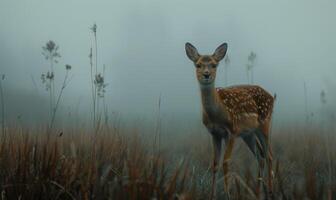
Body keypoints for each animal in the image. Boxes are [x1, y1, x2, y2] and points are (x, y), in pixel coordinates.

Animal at [185, 43, 274, 199]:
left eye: (214, 65)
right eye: (198, 64)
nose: (206, 74)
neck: (218, 113)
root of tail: (272, 97)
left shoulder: (232, 131)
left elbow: (226, 162)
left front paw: (228, 194)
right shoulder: (215, 133)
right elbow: (215, 163)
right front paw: (212, 195)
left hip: (264, 124)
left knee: (269, 156)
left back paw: (269, 191)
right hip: (248, 134)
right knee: (260, 156)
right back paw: (258, 191)